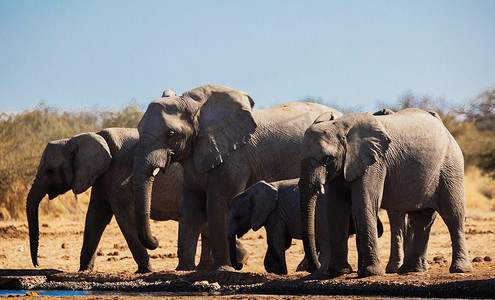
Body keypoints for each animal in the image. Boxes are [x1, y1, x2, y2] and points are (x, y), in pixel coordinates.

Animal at [26, 127, 248, 274]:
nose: (37, 265)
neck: (78, 138)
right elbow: (95, 217)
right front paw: (84, 271)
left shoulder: (115, 173)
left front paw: (146, 271)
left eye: (50, 171)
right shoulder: (103, 177)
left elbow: (122, 216)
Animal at [132, 85, 340, 272]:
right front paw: (184, 270)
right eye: (138, 129)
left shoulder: (234, 158)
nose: (156, 241)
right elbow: (191, 207)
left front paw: (223, 269)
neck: (197, 107)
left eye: (171, 134)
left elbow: (219, 205)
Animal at [298, 107, 472, 276]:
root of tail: (445, 128)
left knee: (452, 214)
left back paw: (460, 269)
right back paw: (411, 270)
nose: (313, 267)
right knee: (421, 220)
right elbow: (336, 208)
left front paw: (370, 273)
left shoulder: (374, 163)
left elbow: (364, 204)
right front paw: (338, 271)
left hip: (450, 165)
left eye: (327, 158)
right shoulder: (344, 168)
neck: (342, 126)